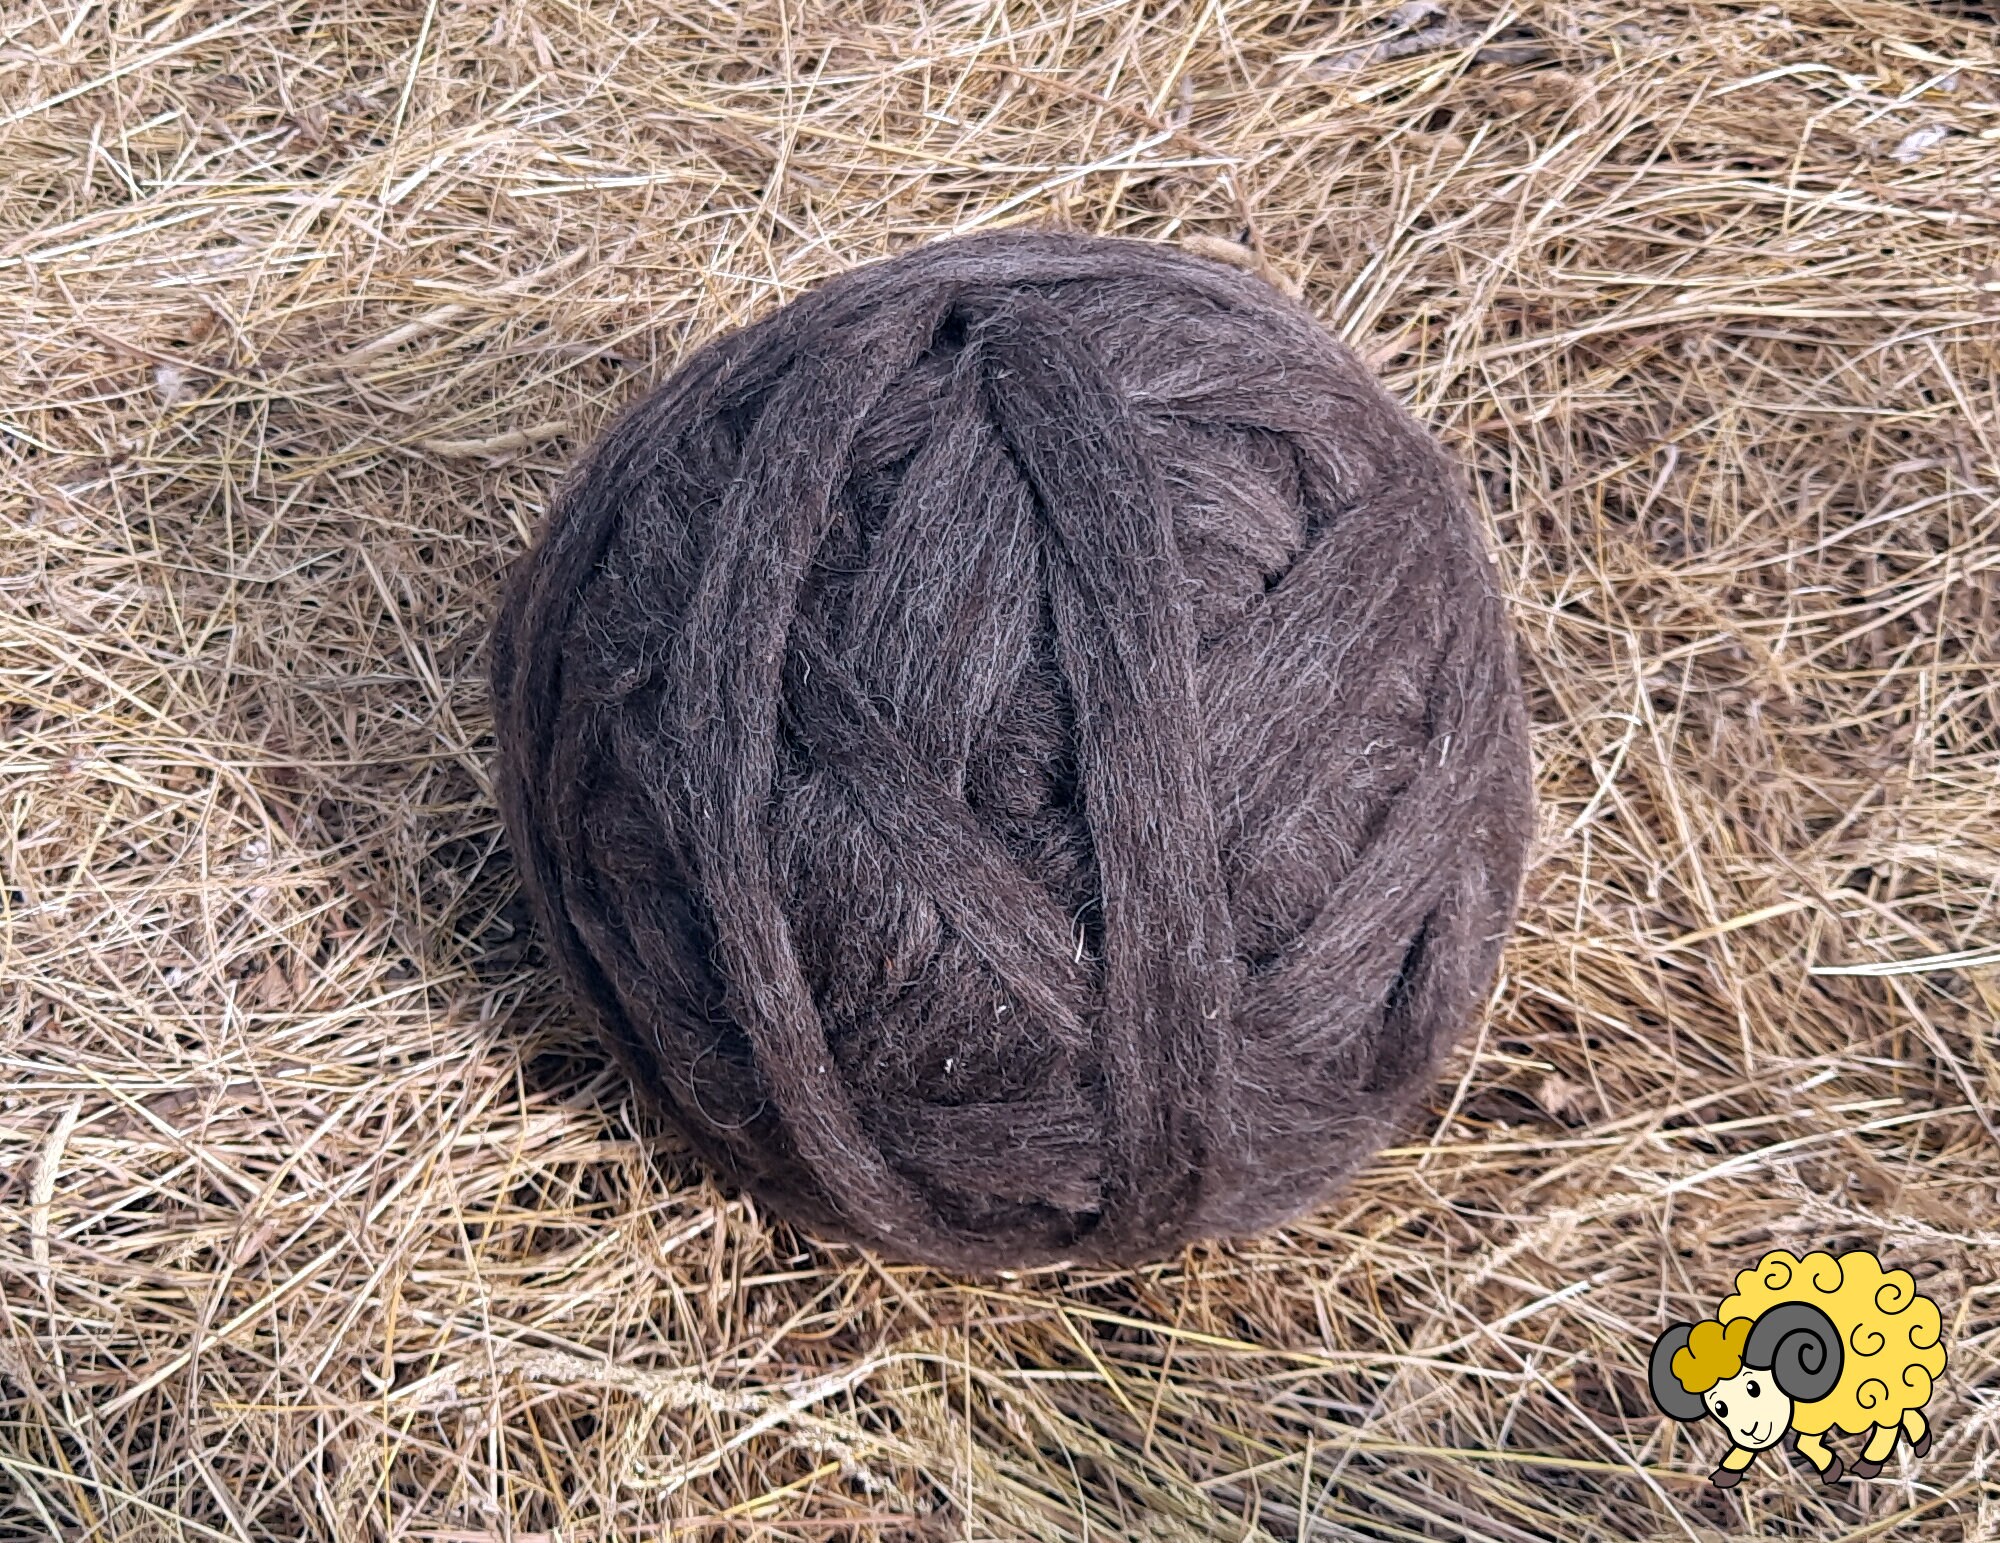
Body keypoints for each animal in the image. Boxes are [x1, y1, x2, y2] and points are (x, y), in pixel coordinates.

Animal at [1648, 1248, 1947, 1487]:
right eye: (1719, 1408)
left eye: (1753, 1387)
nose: (1749, 1431)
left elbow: (1803, 1442)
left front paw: (1831, 1468)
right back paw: (1920, 1440)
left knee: (1890, 1421)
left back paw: (1872, 1462)